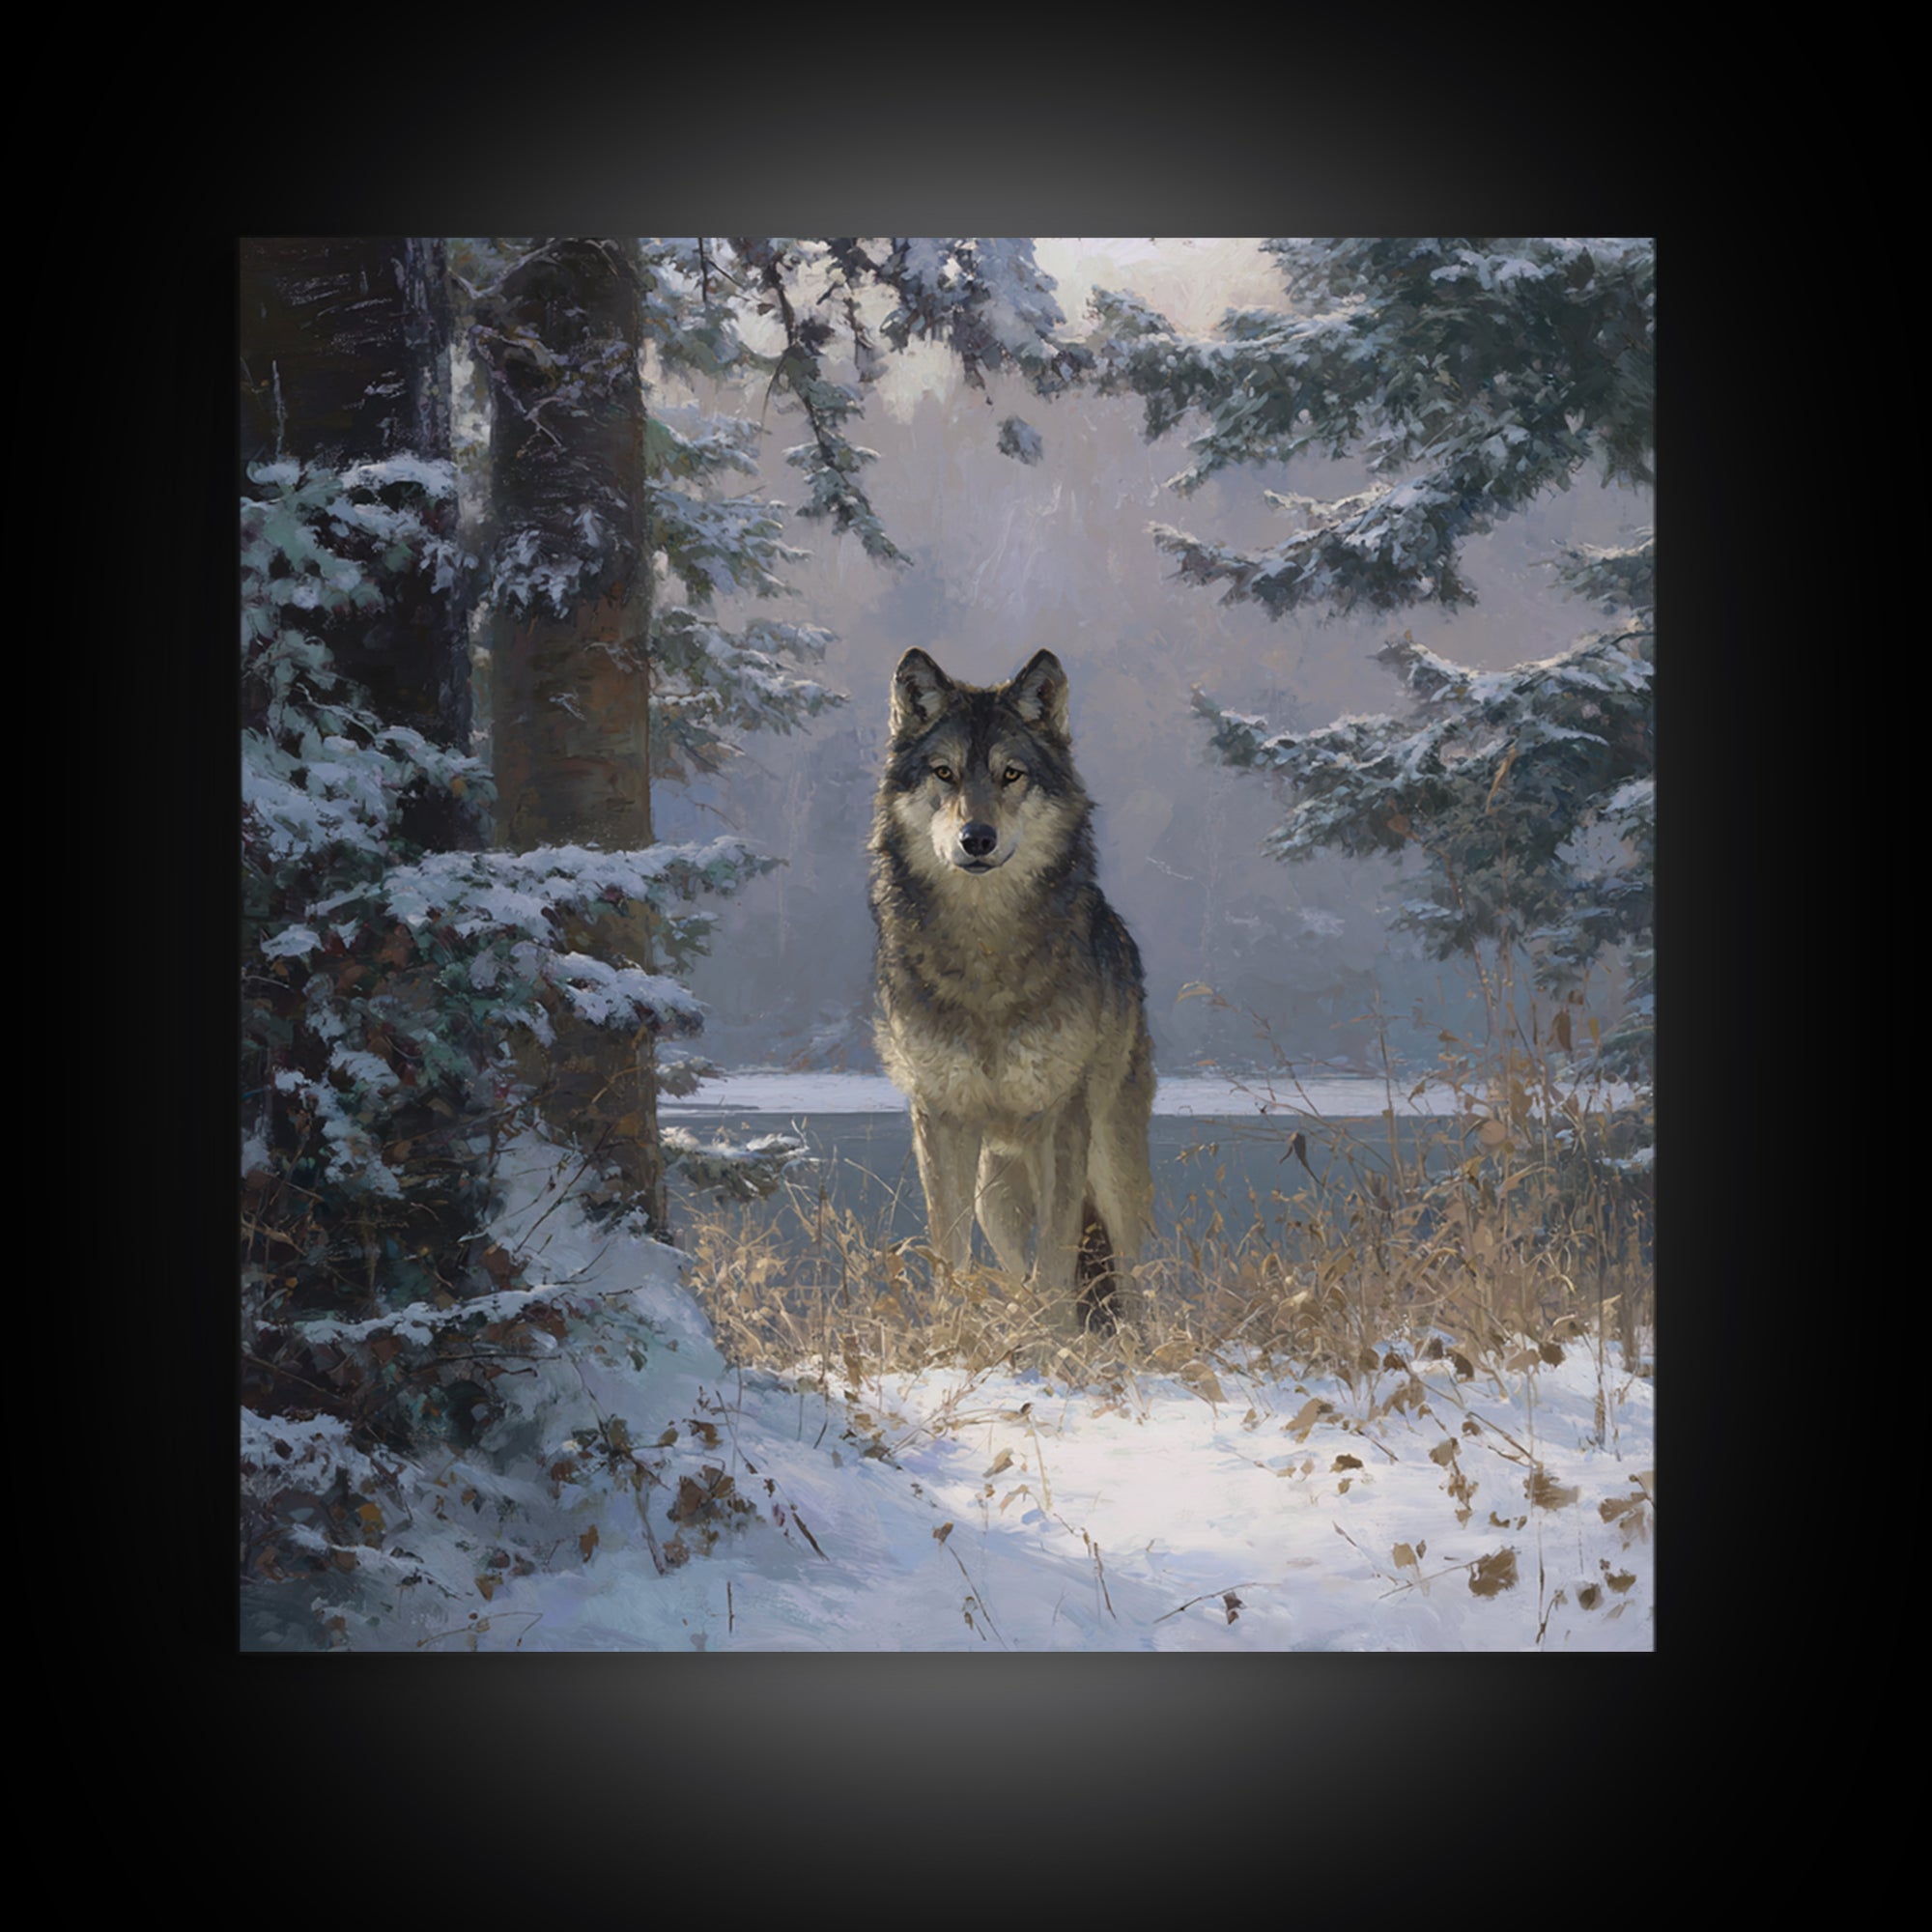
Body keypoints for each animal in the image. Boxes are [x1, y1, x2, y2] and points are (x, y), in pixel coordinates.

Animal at [868, 646, 1155, 1334]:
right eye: (944, 773)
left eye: (1011, 775)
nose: (976, 838)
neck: (986, 954)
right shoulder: (940, 1117)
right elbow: (950, 1258)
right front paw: (950, 1339)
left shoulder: (1063, 1119)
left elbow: (1056, 1262)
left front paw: (1055, 1348)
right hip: (993, 1194)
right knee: (1014, 1269)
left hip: (1112, 1167)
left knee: (1133, 1274)